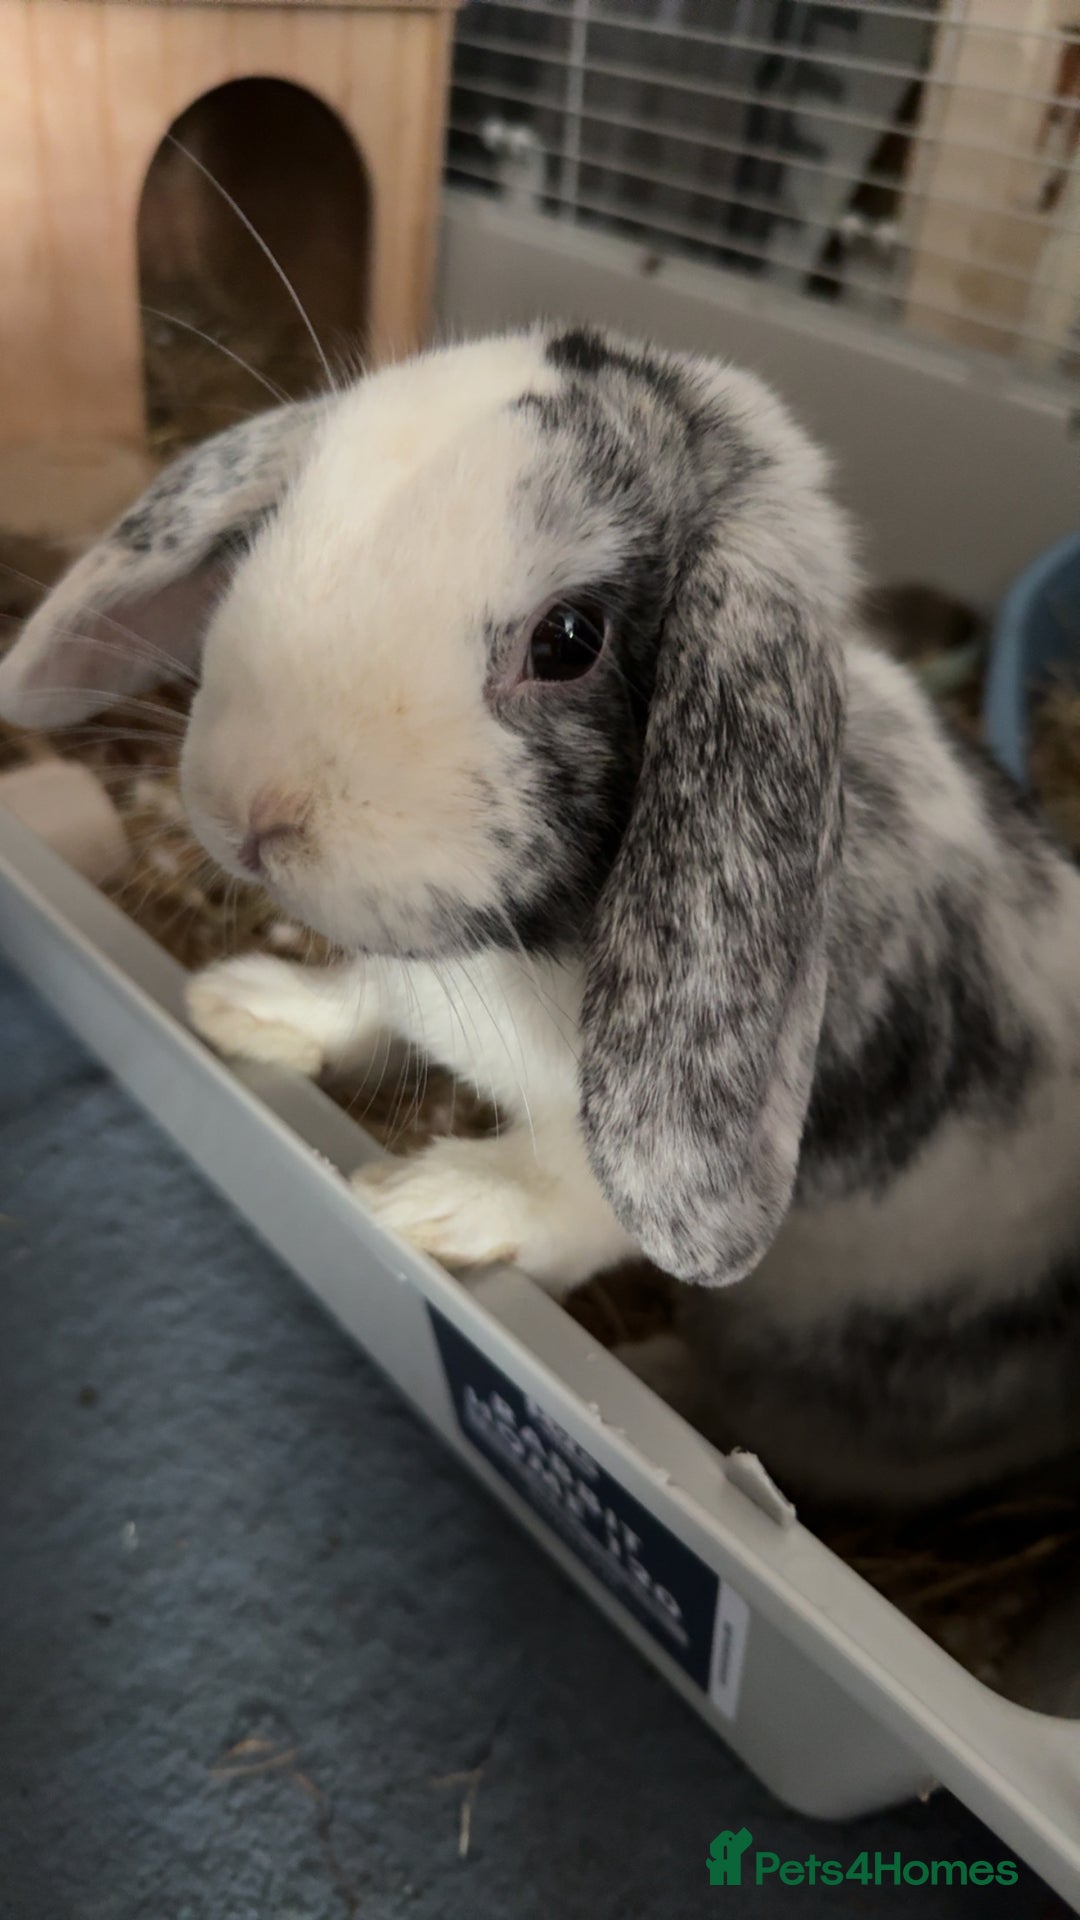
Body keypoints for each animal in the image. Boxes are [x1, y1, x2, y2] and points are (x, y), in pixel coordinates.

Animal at [2, 323, 1078, 1511]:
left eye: (569, 639)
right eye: (281, 522)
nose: (252, 809)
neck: (517, 946)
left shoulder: (617, 1150)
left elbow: (568, 1198)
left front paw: (427, 1205)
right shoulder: (398, 970)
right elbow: (360, 998)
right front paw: (246, 1007)